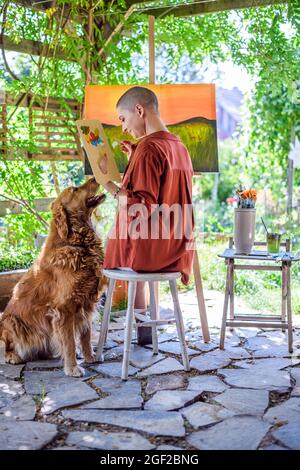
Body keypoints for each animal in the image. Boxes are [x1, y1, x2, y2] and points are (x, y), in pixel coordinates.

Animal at [0, 178, 107, 376]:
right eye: (74, 189)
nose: (95, 178)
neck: (76, 243)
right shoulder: (64, 307)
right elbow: (70, 342)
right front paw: (72, 368)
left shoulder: (87, 302)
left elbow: (86, 336)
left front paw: (89, 357)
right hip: (11, 322)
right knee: (9, 345)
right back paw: (13, 356)